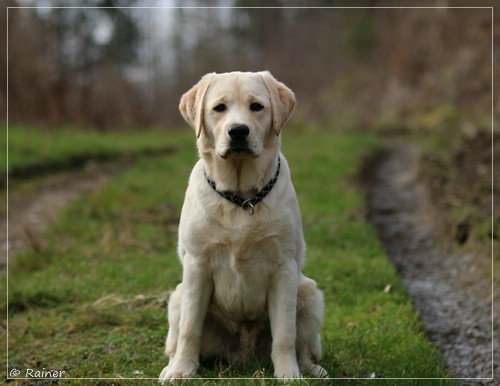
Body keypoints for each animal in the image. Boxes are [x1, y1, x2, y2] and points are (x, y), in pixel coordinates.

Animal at [158, 71, 326, 382]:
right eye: (219, 108)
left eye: (256, 107)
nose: (238, 131)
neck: (241, 199)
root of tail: (244, 356)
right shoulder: (197, 264)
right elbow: (190, 329)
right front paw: (182, 371)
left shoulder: (284, 268)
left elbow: (285, 334)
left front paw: (288, 375)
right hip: (177, 296)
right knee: (178, 336)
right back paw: (174, 364)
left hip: (308, 293)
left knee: (303, 346)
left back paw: (310, 369)